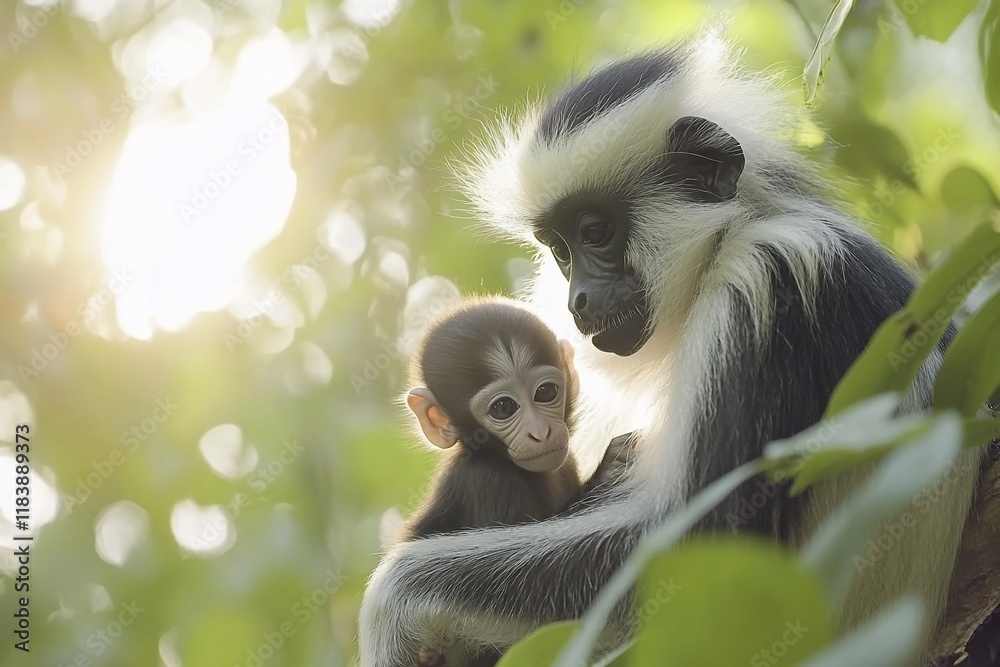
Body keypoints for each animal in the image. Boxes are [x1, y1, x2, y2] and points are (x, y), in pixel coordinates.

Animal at [359, 35, 984, 665]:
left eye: (594, 233)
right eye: (560, 250)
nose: (578, 299)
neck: (729, 239)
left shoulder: (765, 279)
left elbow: (703, 558)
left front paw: (394, 603)